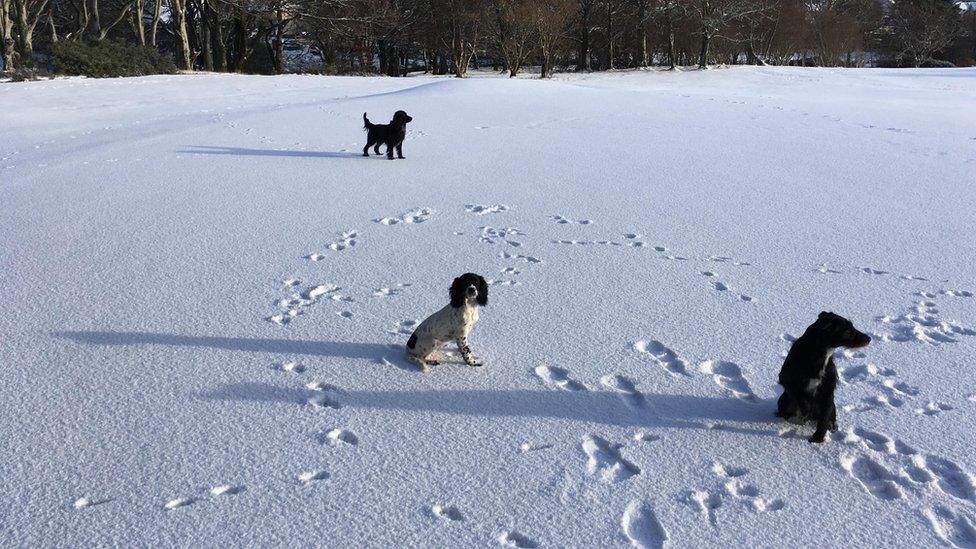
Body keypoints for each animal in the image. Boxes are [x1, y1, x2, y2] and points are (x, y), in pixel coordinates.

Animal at [772, 310, 872, 444]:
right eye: (847, 332)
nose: (869, 338)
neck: (819, 354)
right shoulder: (786, 378)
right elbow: (799, 395)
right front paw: (805, 409)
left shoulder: (828, 389)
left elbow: (824, 417)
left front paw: (818, 438)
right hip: (784, 400)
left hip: (832, 406)